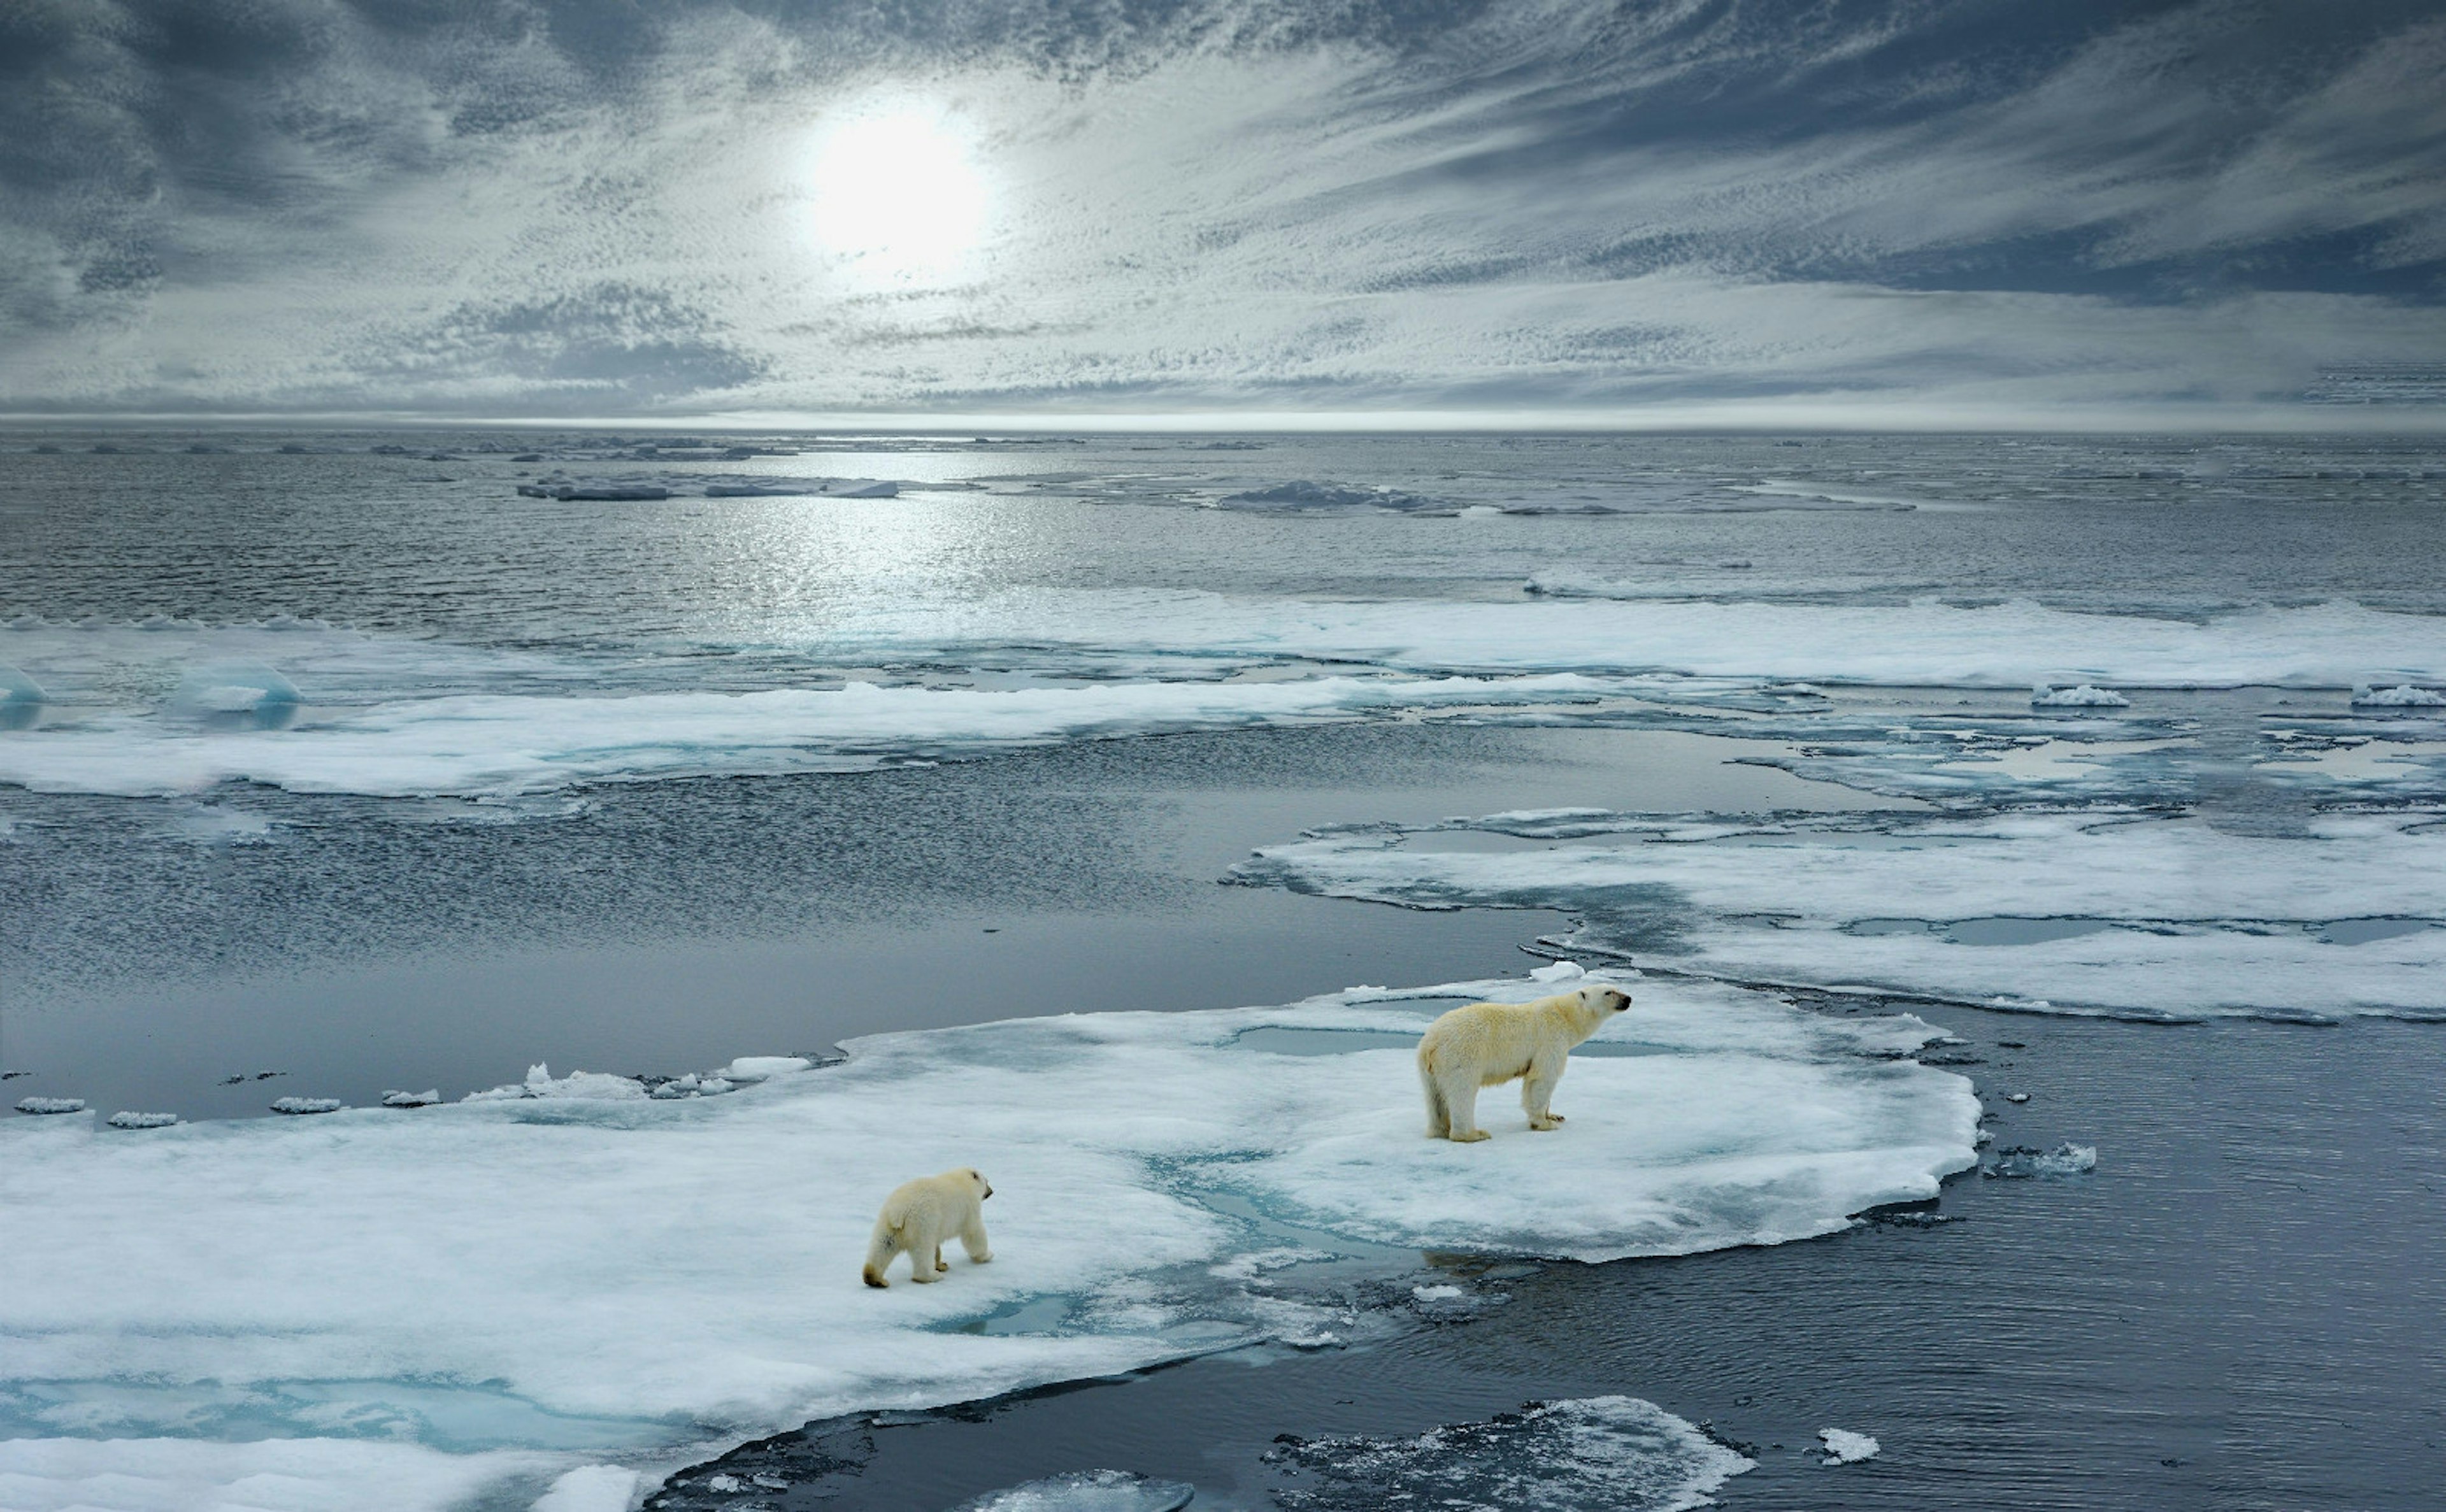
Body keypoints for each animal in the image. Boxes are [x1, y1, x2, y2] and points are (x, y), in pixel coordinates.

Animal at [861, 1159, 993, 1281]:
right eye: (987, 1181)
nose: (991, 1191)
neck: (961, 1181)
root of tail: (899, 1211)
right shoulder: (969, 1207)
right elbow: (974, 1232)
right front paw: (987, 1255)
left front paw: (941, 1265)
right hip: (923, 1222)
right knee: (923, 1250)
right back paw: (931, 1276)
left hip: (888, 1224)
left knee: (884, 1245)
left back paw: (875, 1278)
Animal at [1419, 983, 1624, 1135]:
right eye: (1608, 992)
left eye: (1617, 987)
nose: (1627, 999)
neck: (1566, 1016)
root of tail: (1430, 1043)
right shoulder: (1550, 1039)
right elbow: (1542, 1078)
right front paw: (1544, 1124)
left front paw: (1554, 1116)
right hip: (1461, 1054)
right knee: (1462, 1091)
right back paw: (1473, 1134)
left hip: (1429, 1068)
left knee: (1434, 1096)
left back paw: (1440, 1130)